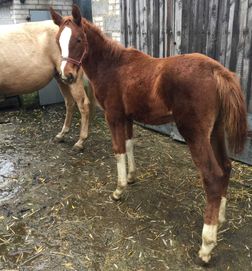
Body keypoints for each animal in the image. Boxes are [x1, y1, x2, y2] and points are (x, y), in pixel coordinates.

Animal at [0, 20, 90, 151]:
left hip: (73, 77)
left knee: (83, 104)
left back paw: (80, 142)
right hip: (62, 77)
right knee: (69, 102)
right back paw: (61, 135)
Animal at [50, 5, 247, 264]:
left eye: (79, 39)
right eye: (57, 41)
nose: (68, 76)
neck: (112, 66)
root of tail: (218, 72)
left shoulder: (113, 116)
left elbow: (118, 150)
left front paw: (119, 189)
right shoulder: (128, 117)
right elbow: (129, 145)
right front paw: (132, 177)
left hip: (195, 134)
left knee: (212, 176)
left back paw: (206, 246)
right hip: (215, 131)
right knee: (225, 167)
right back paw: (220, 218)